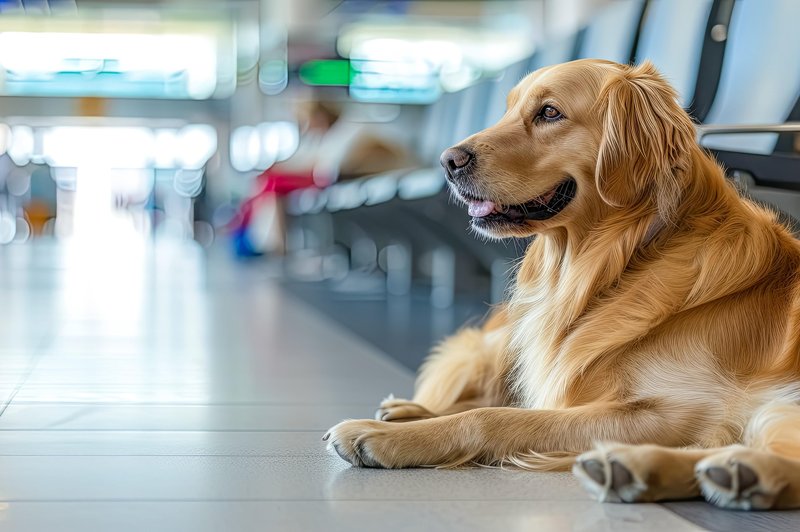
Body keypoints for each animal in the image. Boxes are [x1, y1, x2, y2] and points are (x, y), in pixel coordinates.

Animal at [322, 59, 796, 512]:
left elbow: (492, 418)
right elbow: (504, 407)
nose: (448, 160)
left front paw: (380, 437)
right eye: (508, 109)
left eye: (550, 112)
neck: (622, 262)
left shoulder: (685, 411)